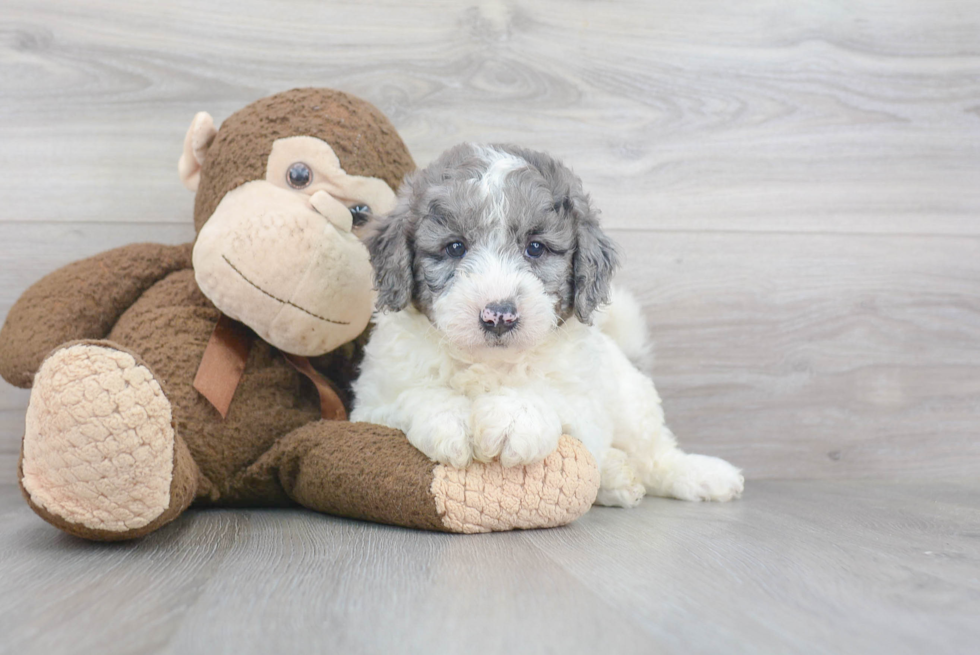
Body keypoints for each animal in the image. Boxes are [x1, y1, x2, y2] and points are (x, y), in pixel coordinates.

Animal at [352, 141, 744, 504]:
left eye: (536, 248)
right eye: (455, 247)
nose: (499, 315)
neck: (489, 363)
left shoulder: (585, 404)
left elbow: (547, 394)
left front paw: (512, 417)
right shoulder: (371, 405)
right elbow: (414, 395)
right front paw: (453, 419)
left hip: (632, 404)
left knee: (656, 455)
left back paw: (704, 475)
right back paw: (620, 479)